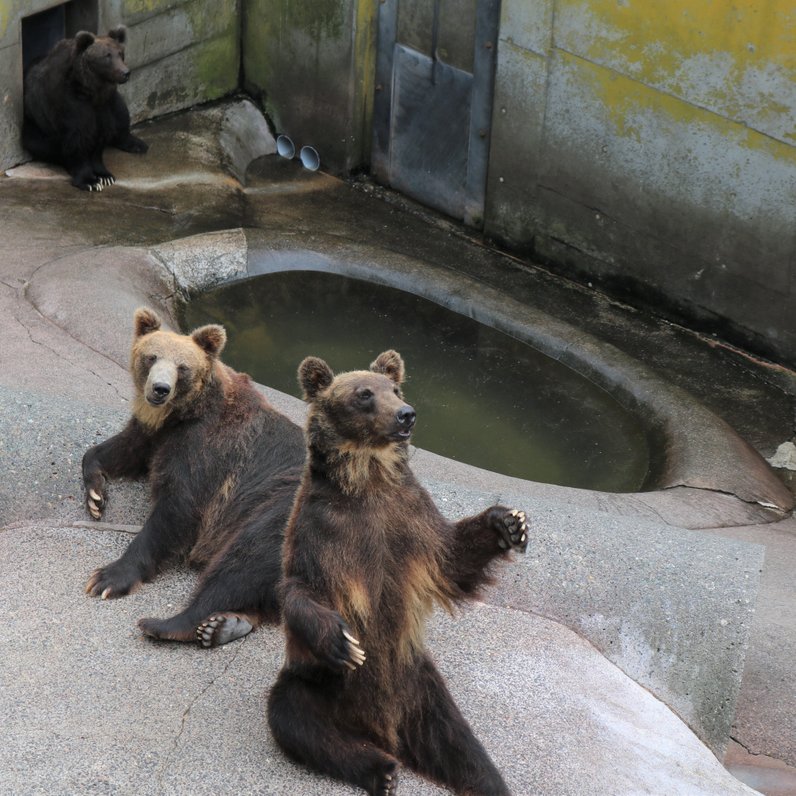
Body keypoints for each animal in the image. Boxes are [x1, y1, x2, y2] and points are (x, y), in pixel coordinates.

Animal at [22, 26, 148, 191]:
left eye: (121, 53)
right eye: (107, 56)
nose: (125, 72)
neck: (91, 91)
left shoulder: (104, 106)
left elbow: (101, 134)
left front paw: (105, 176)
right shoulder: (69, 105)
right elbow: (78, 139)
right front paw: (90, 181)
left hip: (115, 99)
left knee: (122, 113)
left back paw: (137, 144)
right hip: (34, 128)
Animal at [82, 304, 304, 648]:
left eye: (182, 367)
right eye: (151, 357)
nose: (160, 389)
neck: (181, 415)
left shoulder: (205, 450)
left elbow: (177, 510)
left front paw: (107, 578)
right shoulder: (155, 434)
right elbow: (121, 449)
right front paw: (95, 495)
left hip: (277, 512)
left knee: (244, 560)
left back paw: (167, 623)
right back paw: (226, 624)